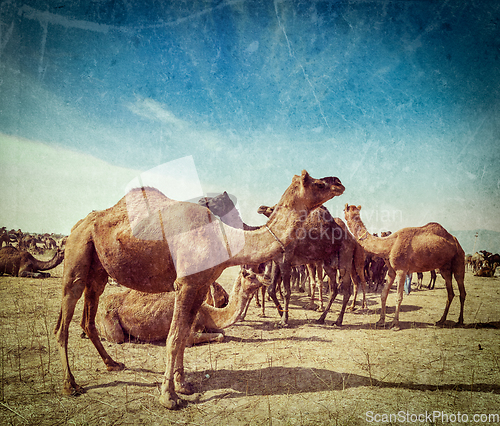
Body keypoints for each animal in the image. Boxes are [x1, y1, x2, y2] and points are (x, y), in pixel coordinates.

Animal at [98, 270, 270, 346]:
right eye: (251, 275)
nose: (267, 277)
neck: (207, 312)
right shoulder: (190, 333)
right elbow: (220, 336)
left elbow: (222, 332)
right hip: (109, 321)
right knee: (117, 338)